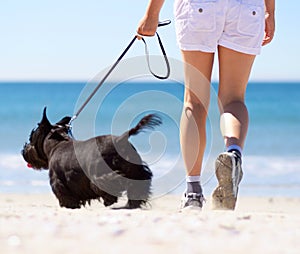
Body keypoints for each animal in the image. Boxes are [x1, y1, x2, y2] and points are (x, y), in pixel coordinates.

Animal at [21, 107, 162, 208]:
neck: (57, 143)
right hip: (136, 170)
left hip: (101, 173)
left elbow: (66, 197)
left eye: (31, 137)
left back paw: (110, 200)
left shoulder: (58, 182)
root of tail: (121, 139)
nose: (24, 150)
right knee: (138, 184)